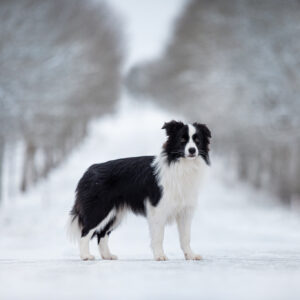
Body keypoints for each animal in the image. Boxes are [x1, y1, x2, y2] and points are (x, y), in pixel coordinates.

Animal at [67, 119, 211, 260]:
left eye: (197, 140)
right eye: (182, 140)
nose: (192, 150)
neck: (182, 165)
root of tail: (88, 171)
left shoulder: (185, 211)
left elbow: (186, 237)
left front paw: (191, 255)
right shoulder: (158, 208)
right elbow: (159, 236)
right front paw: (160, 256)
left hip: (115, 214)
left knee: (102, 234)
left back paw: (107, 256)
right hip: (99, 209)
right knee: (86, 231)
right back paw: (86, 256)